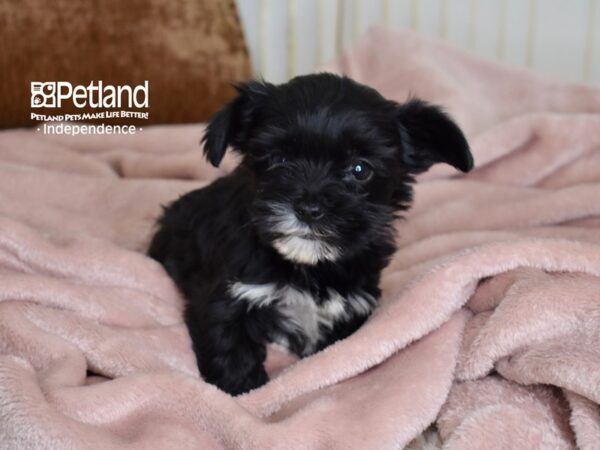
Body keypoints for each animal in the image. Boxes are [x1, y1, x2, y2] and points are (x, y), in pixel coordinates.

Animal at [148, 73, 472, 394]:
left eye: (360, 169)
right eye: (277, 159)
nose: (308, 208)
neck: (307, 265)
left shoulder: (354, 307)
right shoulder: (226, 298)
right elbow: (230, 348)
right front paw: (244, 391)